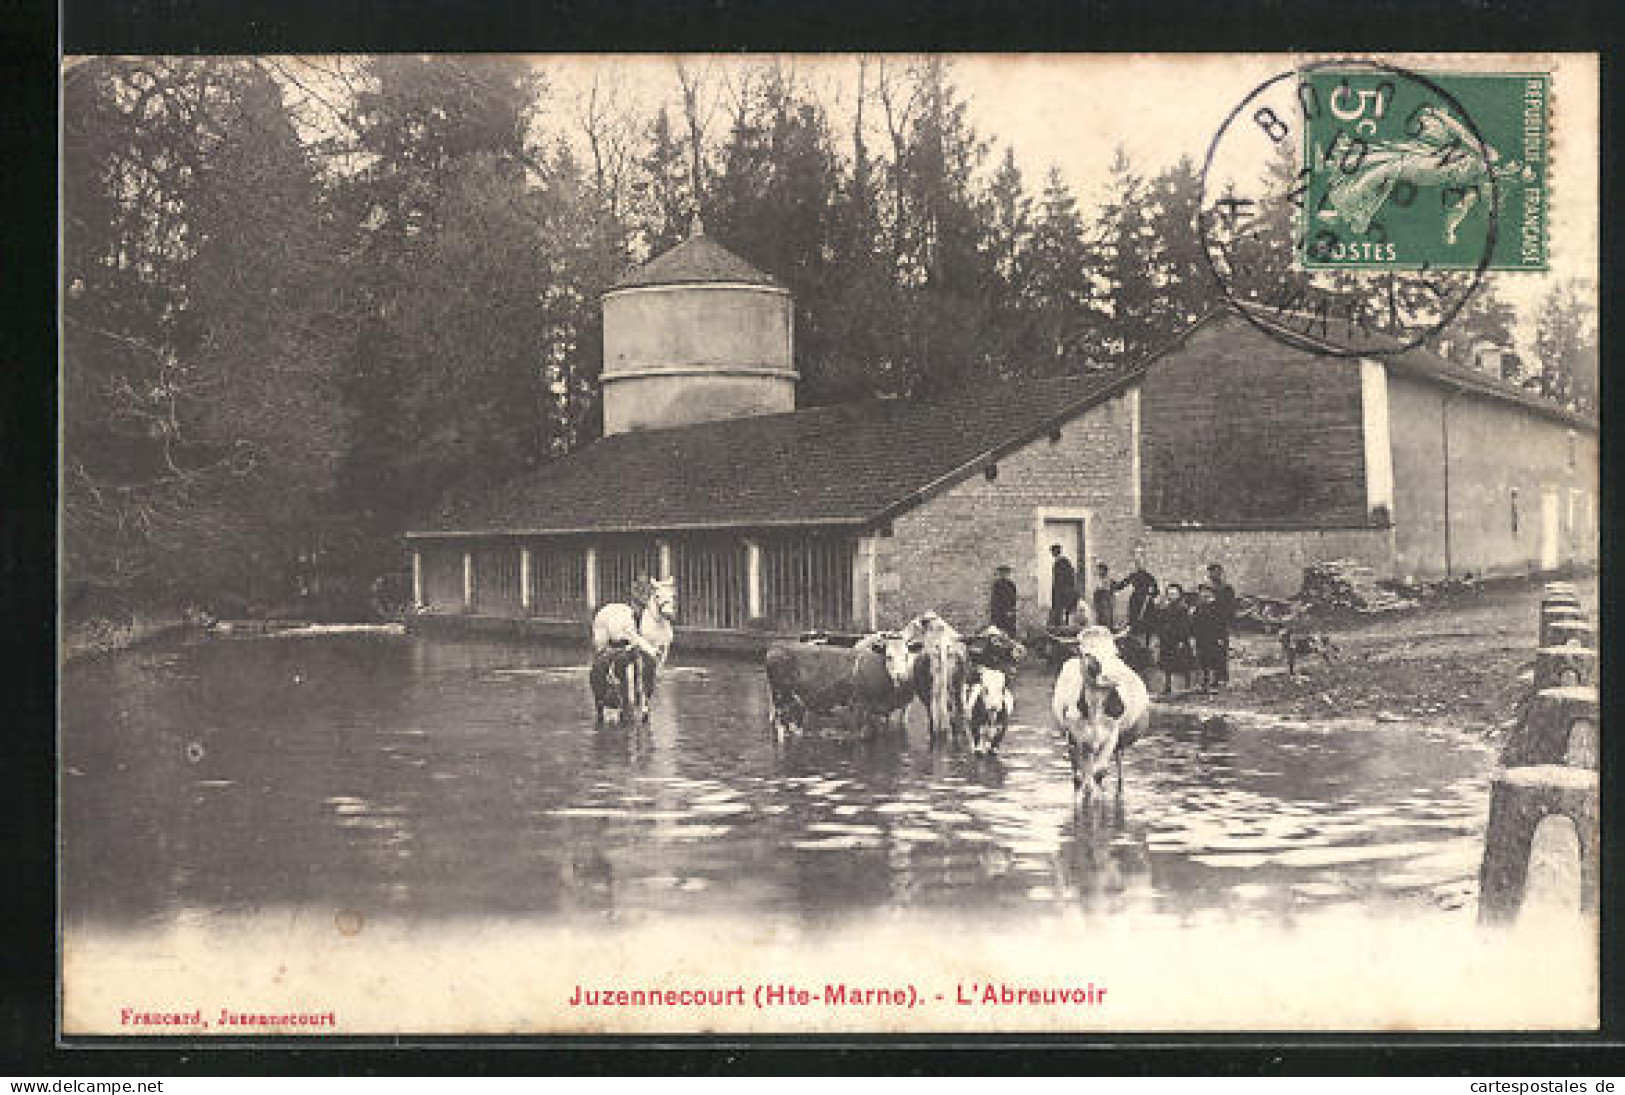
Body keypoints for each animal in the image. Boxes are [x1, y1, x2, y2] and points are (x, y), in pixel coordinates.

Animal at [588, 575, 676, 721]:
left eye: (673, 595)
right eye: (657, 595)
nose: (669, 614)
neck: (658, 625)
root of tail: (606, 607)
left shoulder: (663, 651)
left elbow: (655, 674)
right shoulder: (645, 653)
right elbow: (642, 676)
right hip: (601, 645)